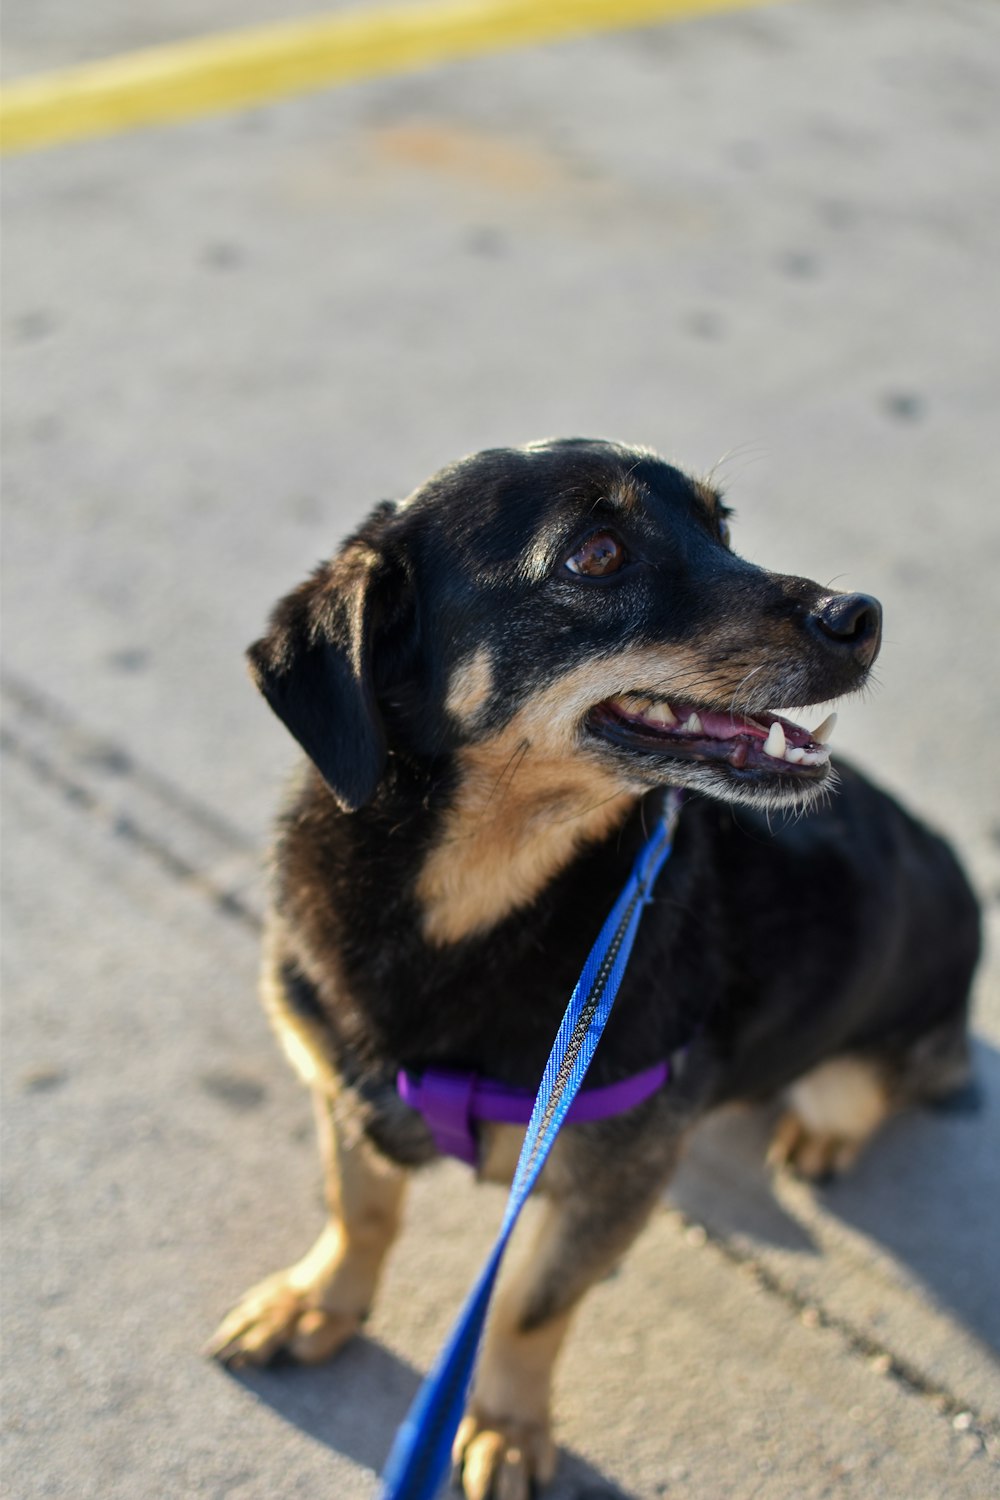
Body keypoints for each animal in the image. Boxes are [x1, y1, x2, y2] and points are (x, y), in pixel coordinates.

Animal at [206, 438, 983, 1494]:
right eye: (598, 554)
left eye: (721, 526)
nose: (860, 616)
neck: (472, 901)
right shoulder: (344, 1083)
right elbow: (357, 1208)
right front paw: (318, 1302)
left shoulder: (612, 1179)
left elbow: (529, 1306)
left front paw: (505, 1424)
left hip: (858, 1068)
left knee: (857, 1098)